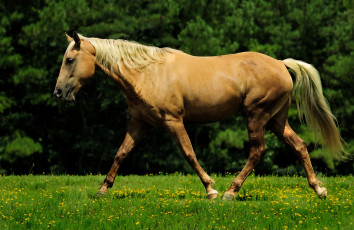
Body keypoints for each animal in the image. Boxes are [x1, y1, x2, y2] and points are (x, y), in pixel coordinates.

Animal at [54, 31, 344, 200]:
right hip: (276, 120)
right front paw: (103, 189)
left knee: (257, 151)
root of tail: (282, 64)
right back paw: (319, 189)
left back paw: (230, 192)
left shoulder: (173, 120)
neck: (147, 72)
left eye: (69, 60)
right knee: (299, 145)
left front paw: (210, 189)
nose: (58, 92)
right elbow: (121, 153)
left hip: (257, 116)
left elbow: (189, 153)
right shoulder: (140, 122)